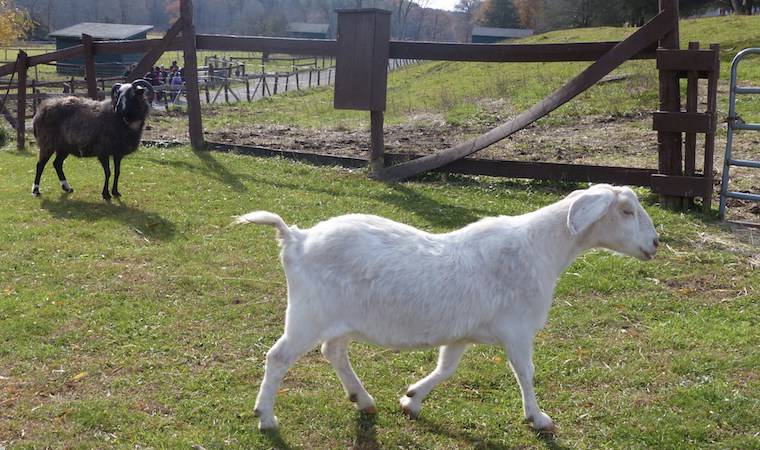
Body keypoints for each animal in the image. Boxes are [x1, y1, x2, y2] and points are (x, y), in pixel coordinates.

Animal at [233, 184, 659, 432]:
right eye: (626, 211)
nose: (655, 243)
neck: (540, 248)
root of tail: (296, 238)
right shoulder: (517, 329)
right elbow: (525, 372)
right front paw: (538, 418)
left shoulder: (462, 333)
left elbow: (446, 368)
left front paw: (411, 400)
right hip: (307, 314)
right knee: (278, 357)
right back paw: (266, 417)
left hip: (335, 319)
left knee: (333, 351)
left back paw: (364, 400)